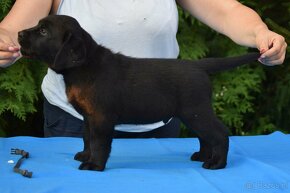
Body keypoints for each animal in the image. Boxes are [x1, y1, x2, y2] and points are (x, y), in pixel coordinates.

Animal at [17, 15, 258, 172]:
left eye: (43, 31)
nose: (18, 33)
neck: (84, 66)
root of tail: (198, 66)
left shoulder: (101, 118)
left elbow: (99, 143)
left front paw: (94, 164)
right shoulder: (88, 117)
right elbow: (87, 138)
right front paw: (85, 155)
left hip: (196, 112)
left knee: (220, 134)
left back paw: (217, 163)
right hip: (194, 115)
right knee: (205, 137)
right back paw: (202, 156)